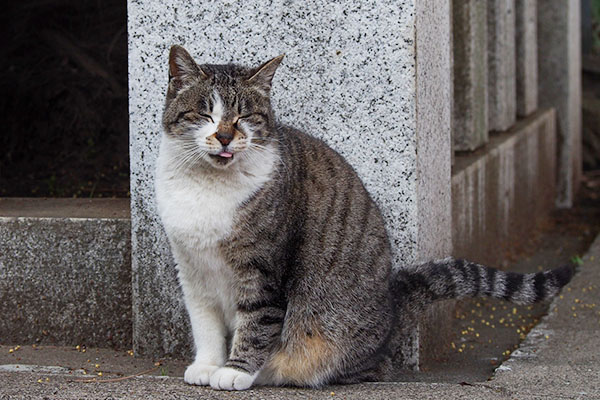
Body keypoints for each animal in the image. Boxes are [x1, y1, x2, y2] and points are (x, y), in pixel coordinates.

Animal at [154, 44, 572, 390]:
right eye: (206, 113)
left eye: (244, 116)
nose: (225, 137)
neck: (209, 186)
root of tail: (391, 305)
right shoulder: (191, 269)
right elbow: (205, 323)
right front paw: (207, 366)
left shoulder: (264, 269)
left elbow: (256, 322)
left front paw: (235, 371)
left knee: (369, 365)